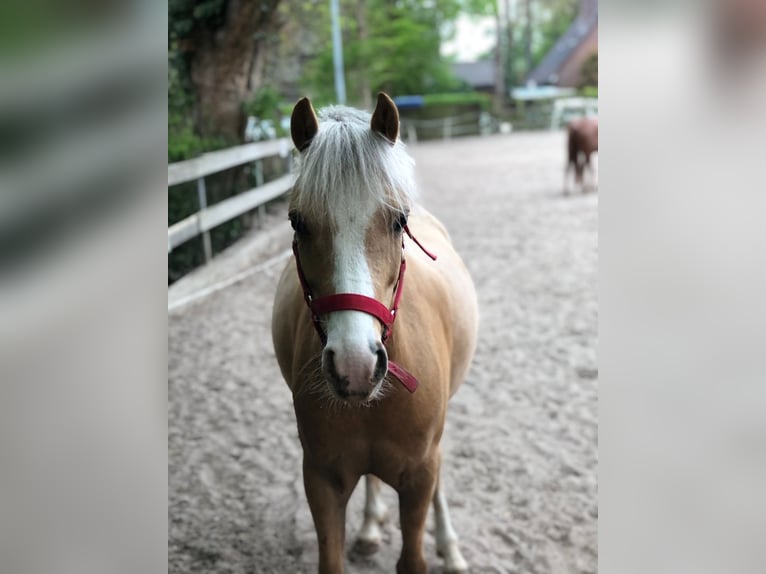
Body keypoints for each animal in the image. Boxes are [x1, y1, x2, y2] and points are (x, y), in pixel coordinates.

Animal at [272, 92, 480, 572]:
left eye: (398, 220)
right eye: (298, 222)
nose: (356, 365)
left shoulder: (419, 473)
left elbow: (415, 554)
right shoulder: (321, 478)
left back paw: (450, 547)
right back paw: (368, 528)